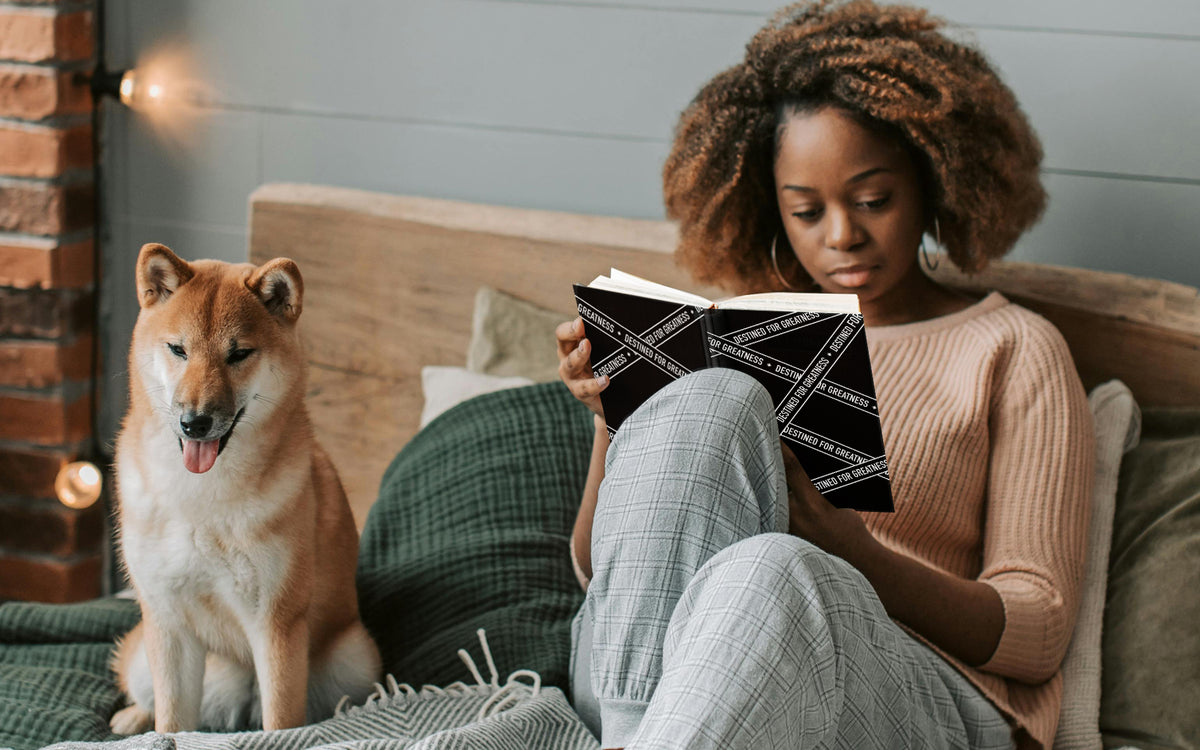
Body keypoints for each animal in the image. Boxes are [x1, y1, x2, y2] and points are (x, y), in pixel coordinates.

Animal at [109, 244, 379, 729]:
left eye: (239, 354)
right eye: (178, 349)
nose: (194, 422)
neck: (199, 497)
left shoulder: (276, 623)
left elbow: (281, 724)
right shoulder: (168, 622)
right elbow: (172, 722)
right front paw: (156, 730)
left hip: (354, 659)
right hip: (147, 655)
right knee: (149, 696)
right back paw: (132, 718)